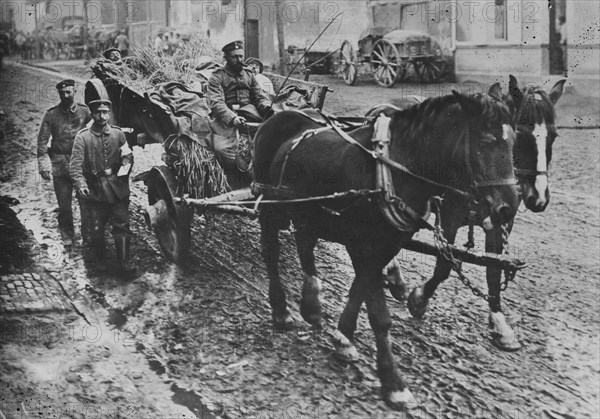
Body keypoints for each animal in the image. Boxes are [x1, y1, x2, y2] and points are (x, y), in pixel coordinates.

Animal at [251, 92, 516, 410]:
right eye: (487, 141)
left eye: (513, 141)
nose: (508, 208)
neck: (393, 172)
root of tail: (276, 116)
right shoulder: (364, 245)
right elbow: (379, 314)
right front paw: (393, 382)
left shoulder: (386, 246)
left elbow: (360, 289)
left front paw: (344, 337)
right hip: (270, 205)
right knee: (271, 251)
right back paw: (281, 310)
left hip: (309, 210)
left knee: (304, 242)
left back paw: (311, 305)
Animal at [404, 75, 568, 352]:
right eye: (521, 136)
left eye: (553, 136)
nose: (539, 197)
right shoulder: (449, 217)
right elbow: (444, 265)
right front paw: (420, 298)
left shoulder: (500, 223)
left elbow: (494, 269)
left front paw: (499, 320)